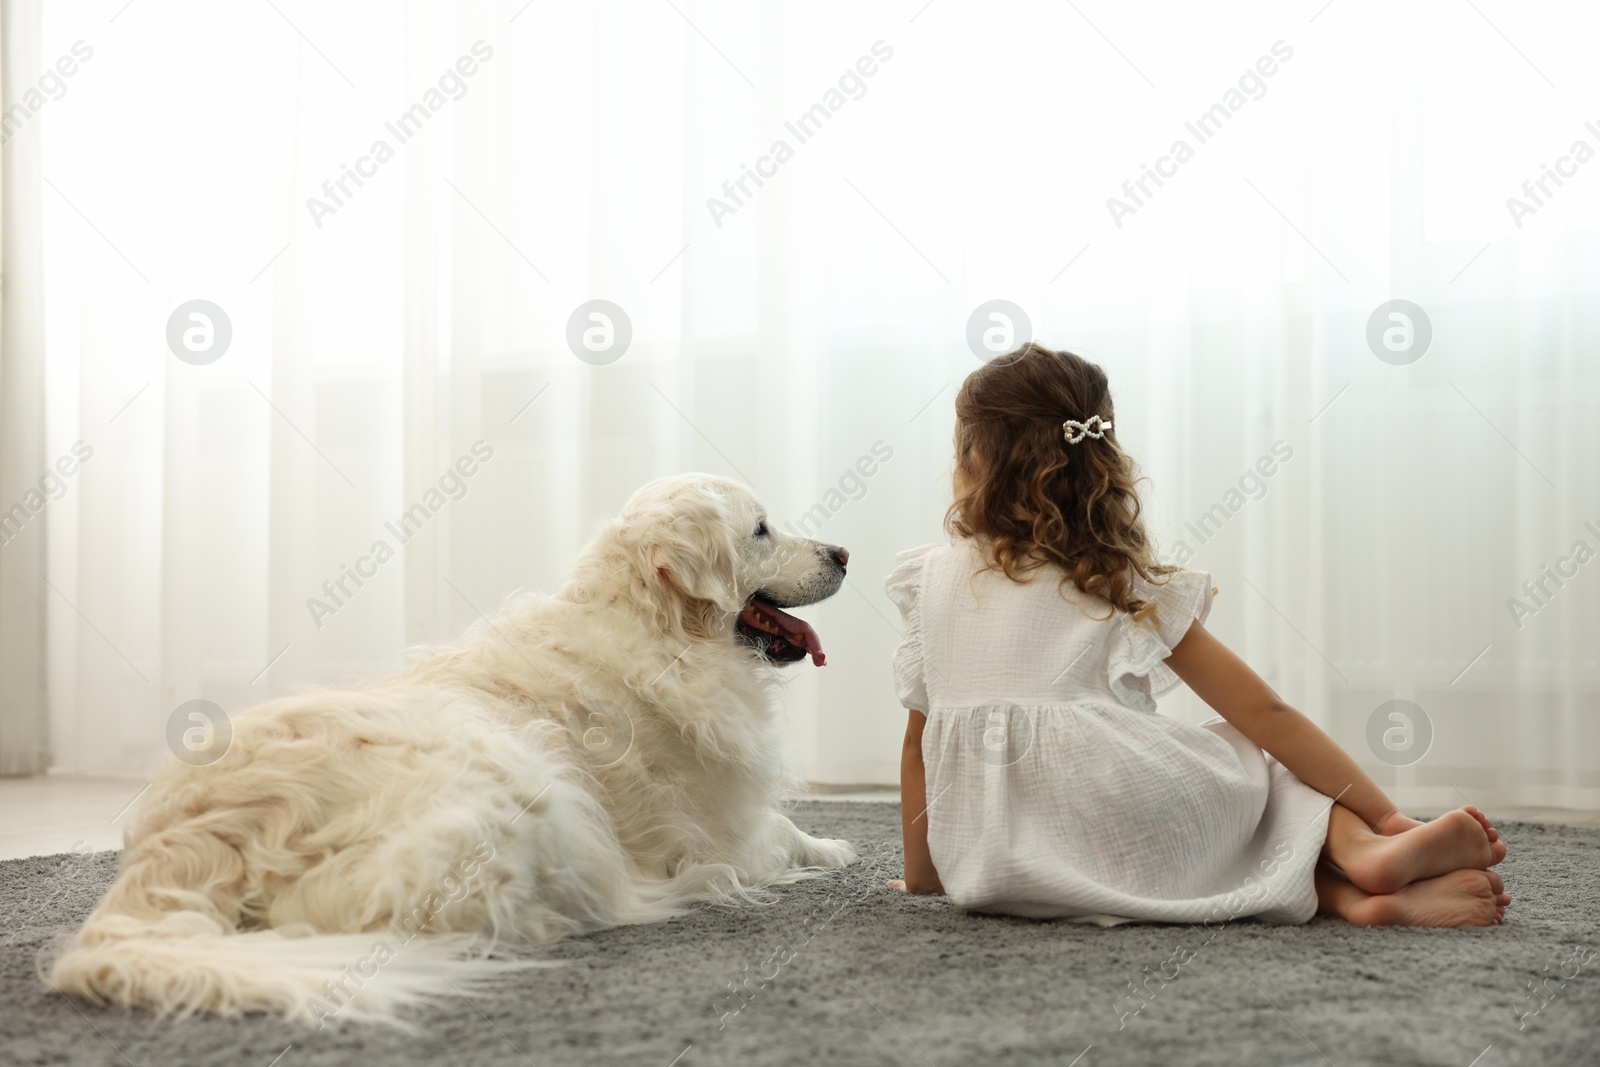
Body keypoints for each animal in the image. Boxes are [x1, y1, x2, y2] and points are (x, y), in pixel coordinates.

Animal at [46, 476, 851, 1023]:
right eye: (760, 530)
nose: (844, 551)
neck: (659, 630)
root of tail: (174, 846)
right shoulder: (718, 824)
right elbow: (778, 831)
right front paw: (831, 849)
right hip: (510, 790)